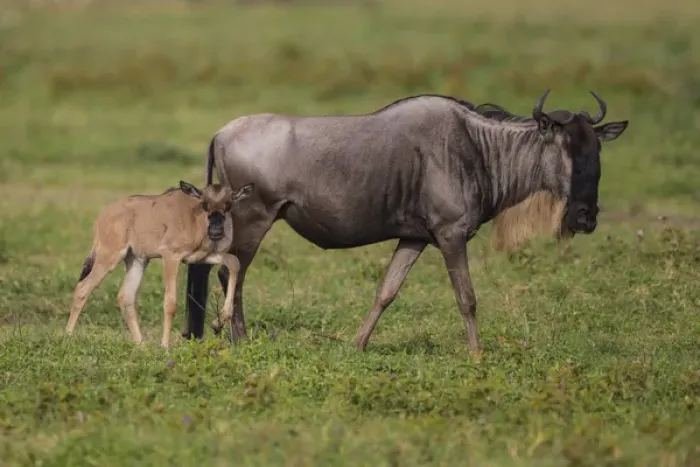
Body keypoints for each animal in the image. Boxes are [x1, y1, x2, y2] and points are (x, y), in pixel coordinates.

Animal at [64, 181, 254, 348]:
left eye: (228, 204)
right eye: (204, 203)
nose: (216, 231)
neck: (195, 219)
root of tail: (103, 217)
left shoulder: (200, 257)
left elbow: (234, 263)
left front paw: (218, 322)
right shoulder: (170, 256)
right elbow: (170, 302)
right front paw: (164, 345)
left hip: (137, 260)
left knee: (125, 296)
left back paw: (141, 344)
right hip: (109, 256)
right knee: (83, 288)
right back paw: (68, 336)